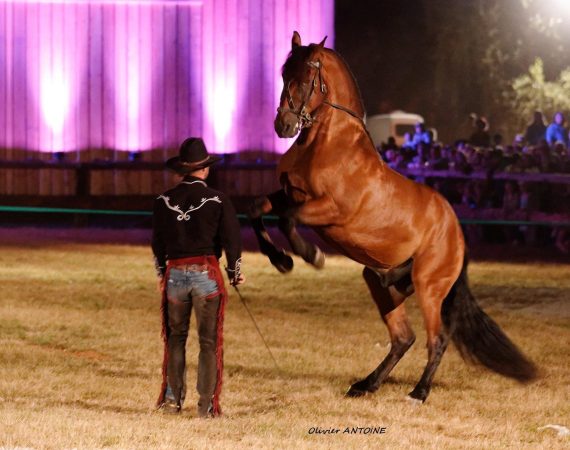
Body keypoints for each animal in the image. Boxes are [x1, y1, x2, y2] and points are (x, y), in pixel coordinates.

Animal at [247, 32, 532, 404]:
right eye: (283, 74)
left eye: (308, 77)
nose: (283, 126)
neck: (328, 145)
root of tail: (457, 234)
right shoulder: (287, 194)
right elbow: (257, 210)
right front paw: (281, 260)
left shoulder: (328, 209)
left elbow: (288, 220)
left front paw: (311, 255)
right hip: (381, 284)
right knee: (403, 338)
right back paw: (366, 384)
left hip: (430, 288)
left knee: (436, 339)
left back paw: (418, 393)